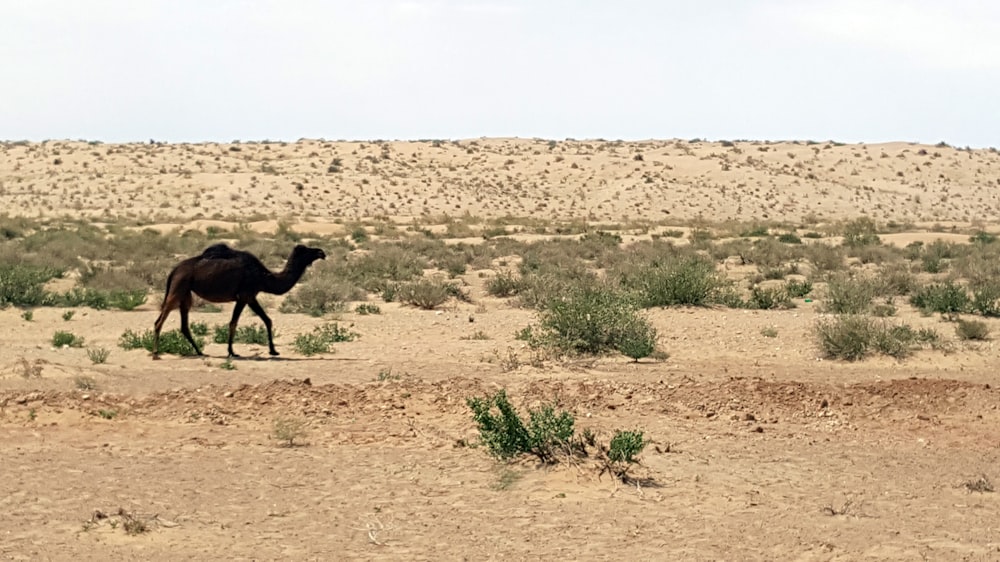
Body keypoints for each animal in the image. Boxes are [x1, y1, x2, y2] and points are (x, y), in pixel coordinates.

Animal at [152, 242, 326, 358]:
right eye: (306, 250)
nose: (321, 252)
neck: (264, 277)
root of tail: (174, 270)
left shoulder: (251, 297)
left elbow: (267, 320)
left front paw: (273, 351)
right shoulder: (244, 296)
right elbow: (233, 323)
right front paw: (232, 352)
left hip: (185, 292)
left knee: (184, 323)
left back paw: (200, 352)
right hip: (178, 286)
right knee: (161, 319)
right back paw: (155, 353)